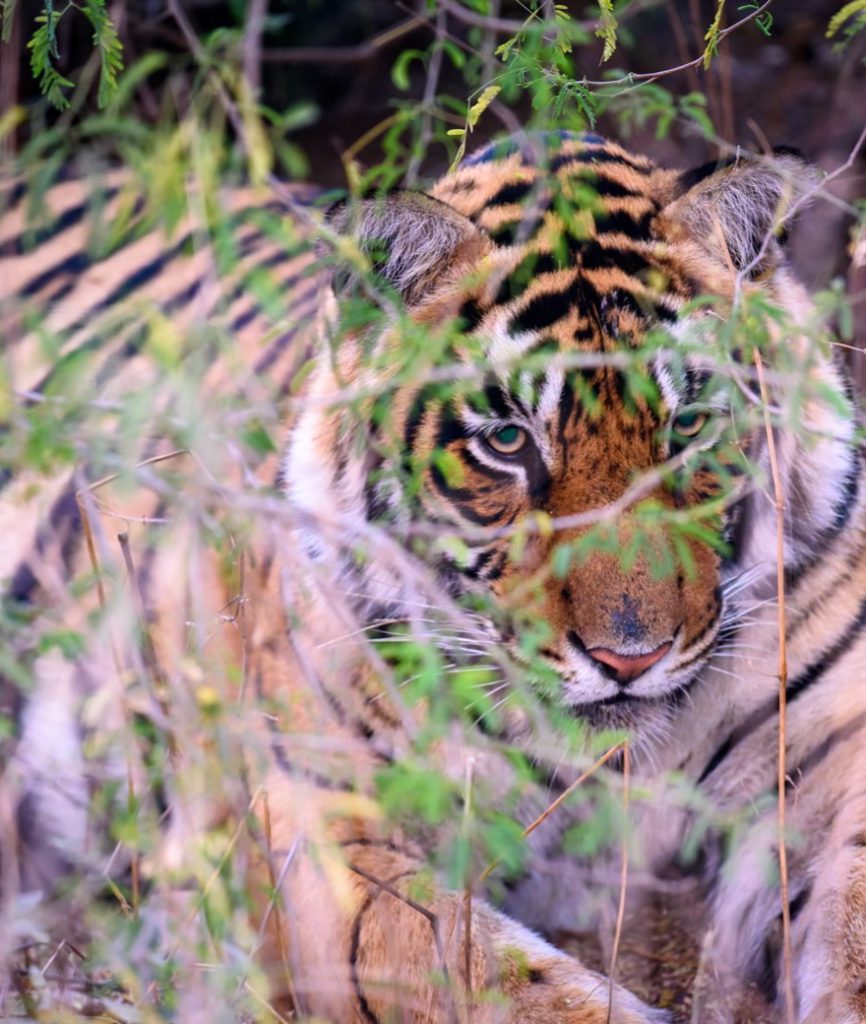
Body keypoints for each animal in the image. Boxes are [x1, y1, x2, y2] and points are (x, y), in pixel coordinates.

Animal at [2, 129, 865, 1024]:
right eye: (508, 441)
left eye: (689, 427)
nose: (630, 659)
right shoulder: (316, 831)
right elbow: (497, 978)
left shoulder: (836, 764)